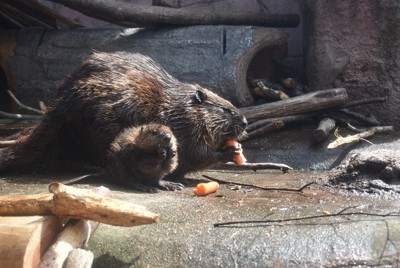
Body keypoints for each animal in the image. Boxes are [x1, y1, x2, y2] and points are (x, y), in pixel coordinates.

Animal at [0, 50, 247, 188]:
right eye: (226, 110)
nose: (245, 123)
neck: (177, 107)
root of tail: (55, 113)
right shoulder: (185, 128)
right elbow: (197, 154)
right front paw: (229, 152)